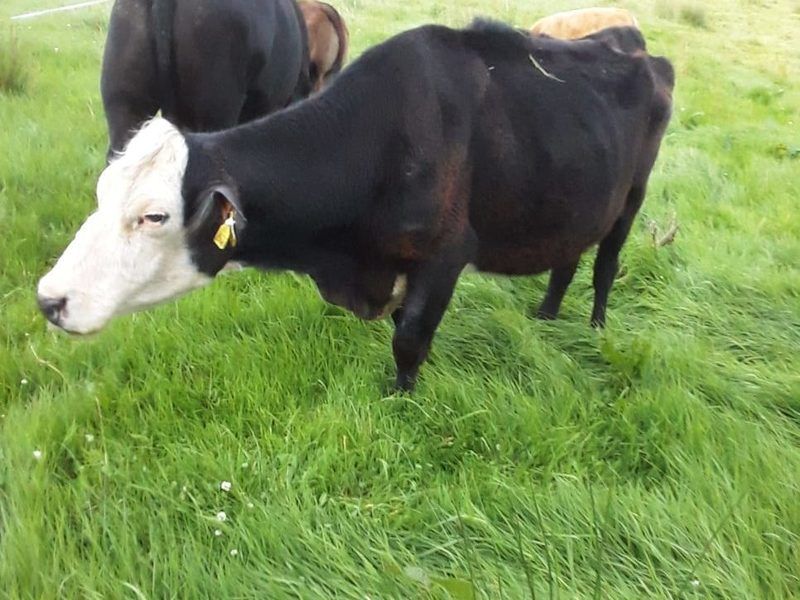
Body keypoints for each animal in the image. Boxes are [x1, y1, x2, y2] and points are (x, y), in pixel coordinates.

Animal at [38, 20, 674, 392]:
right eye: (101, 194)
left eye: (154, 216)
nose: (49, 300)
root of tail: (635, 45)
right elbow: (402, 326)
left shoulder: (447, 252)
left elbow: (409, 336)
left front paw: (402, 398)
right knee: (567, 259)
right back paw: (544, 317)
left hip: (632, 197)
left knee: (605, 265)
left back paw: (594, 330)